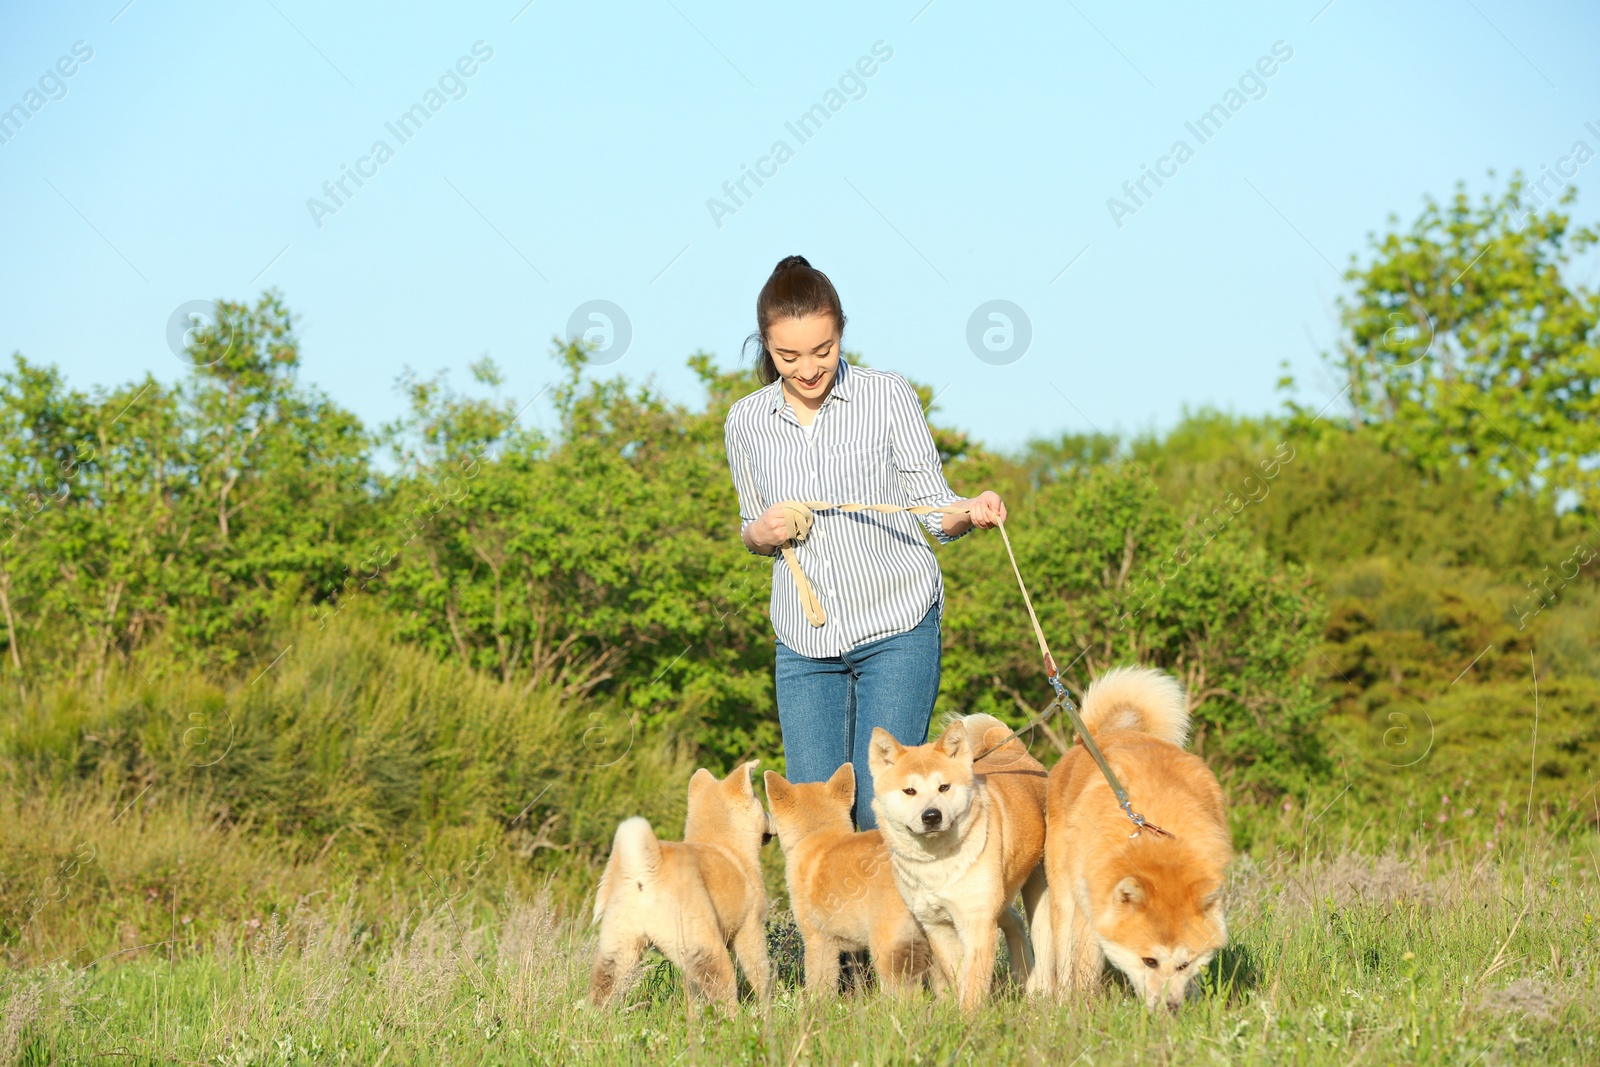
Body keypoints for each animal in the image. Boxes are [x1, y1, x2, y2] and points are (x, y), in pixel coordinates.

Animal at [592, 758, 771, 1011]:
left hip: (619, 948)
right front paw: (768, 1009)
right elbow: (760, 974)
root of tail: (644, 872)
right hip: (707, 948)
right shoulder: (749, 928)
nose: (772, 818)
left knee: (602, 991)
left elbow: (692, 994)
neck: (723, 844)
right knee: (723, 993)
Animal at [864, 713, 1049, 1017]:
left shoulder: (977, 922)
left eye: (944, 787)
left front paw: (969, 1020)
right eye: (909, 791)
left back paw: (1041, 992)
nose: (931, 816)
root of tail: (1015, 751)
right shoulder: (937, 925)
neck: (937, 861)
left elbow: (973, 981)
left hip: (1037, 892)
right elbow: (958, 974)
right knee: (1014, 921)